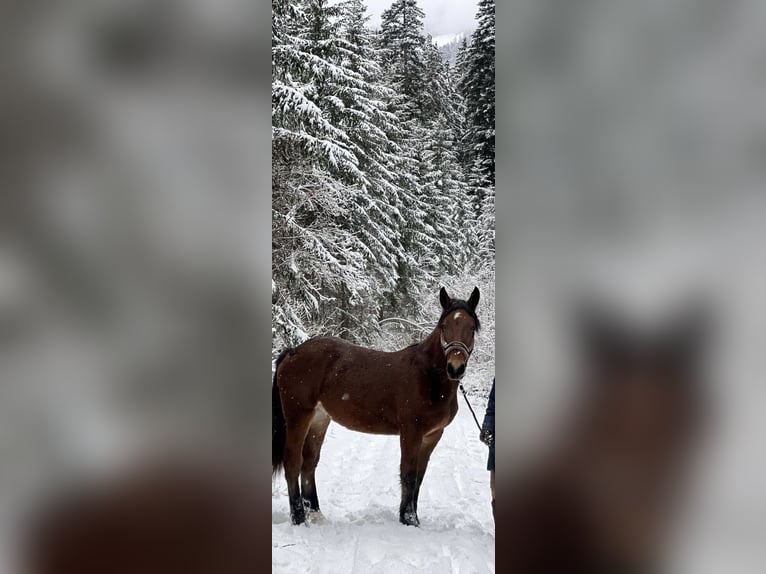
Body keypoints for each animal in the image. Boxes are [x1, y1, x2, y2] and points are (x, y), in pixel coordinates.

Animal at [272, 286, 481, 526]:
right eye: (444, 326)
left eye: (471, 328)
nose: (455, 368)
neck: (428, 377)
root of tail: (293, 351)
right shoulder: (411, 432)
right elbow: (408, 474)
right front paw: (409, 520)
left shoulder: (432, 435)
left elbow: (419, 477)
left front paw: (411, 517)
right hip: (298, 416)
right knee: (292, 462)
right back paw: (298, 518)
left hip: (318, 420)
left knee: (309, 464)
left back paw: (315, 514)